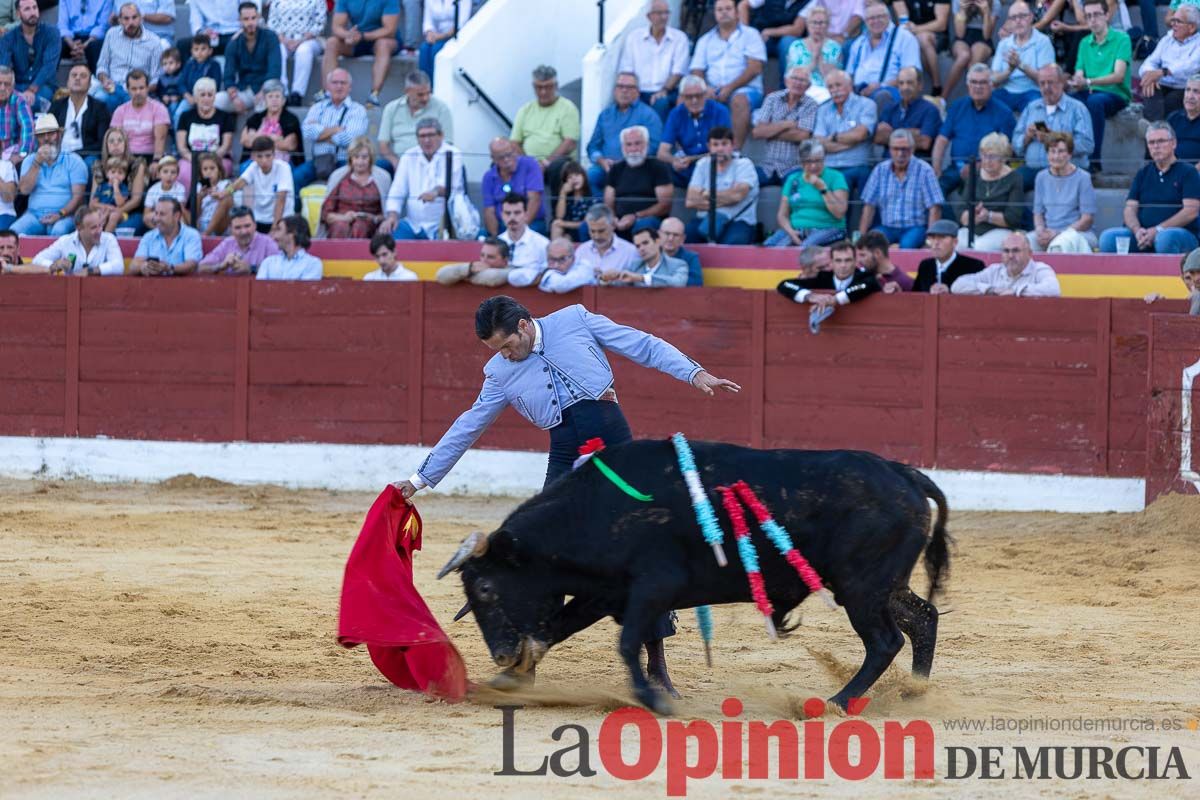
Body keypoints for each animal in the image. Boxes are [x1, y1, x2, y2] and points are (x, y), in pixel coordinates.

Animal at [436, 441, 950, 714]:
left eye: (486, 588)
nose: (502, 653)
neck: (595, 509)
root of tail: (903, 474)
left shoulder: (652, 587)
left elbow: (627, 643)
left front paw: (654, 700)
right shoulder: (605, 593)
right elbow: (557, 629)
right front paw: (508, 681)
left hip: (861, 587)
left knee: (885, 641)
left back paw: (835, 703)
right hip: (879, 586)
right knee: (923, 618)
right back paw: (914, 693)